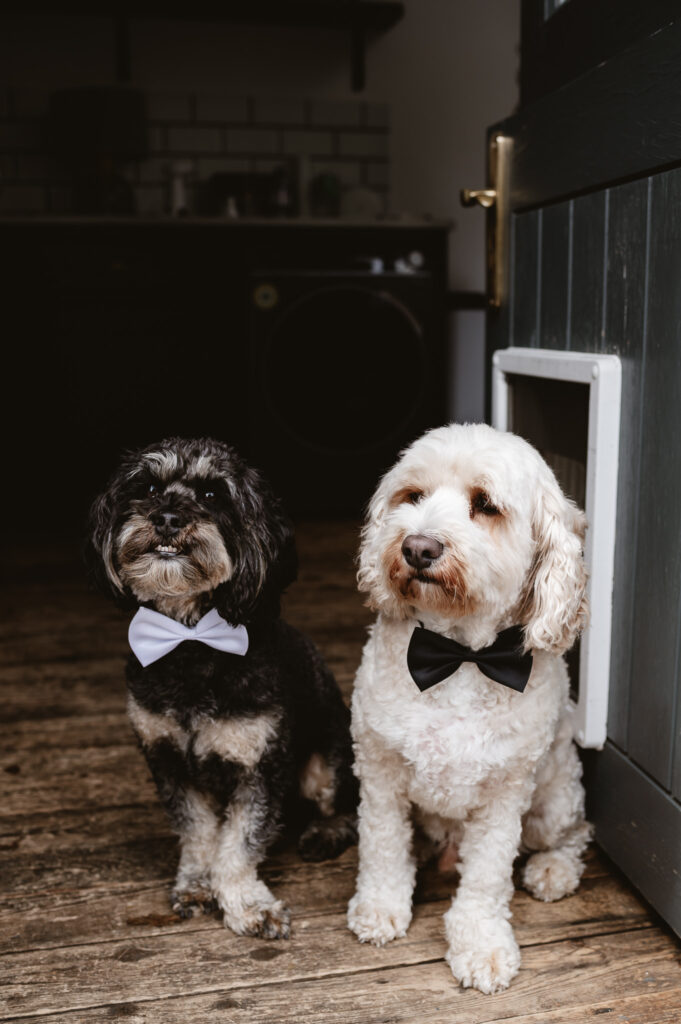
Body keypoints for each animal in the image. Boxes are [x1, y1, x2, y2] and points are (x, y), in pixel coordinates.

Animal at [86, 436, 356, 937]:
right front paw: (196, 883)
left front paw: (246, 903)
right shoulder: (168, 760)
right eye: (147, 487)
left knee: (347, 806)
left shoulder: (260, 765)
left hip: (327, 760)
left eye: (213, 495)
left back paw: (324, 833)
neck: (190, 644)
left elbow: (240, 840)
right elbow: (197, 830)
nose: (167, 518)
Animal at [346, 421, 589, 991]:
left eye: (485, 505)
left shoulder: (505, 794)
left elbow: (486, 878)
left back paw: (554, 870)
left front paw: (482, 946)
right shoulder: (380, 772)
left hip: (553, 799)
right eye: (412, 496)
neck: (459, 656)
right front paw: (380, 908)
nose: (417, 547)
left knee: (576, 832)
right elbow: (383, 846)